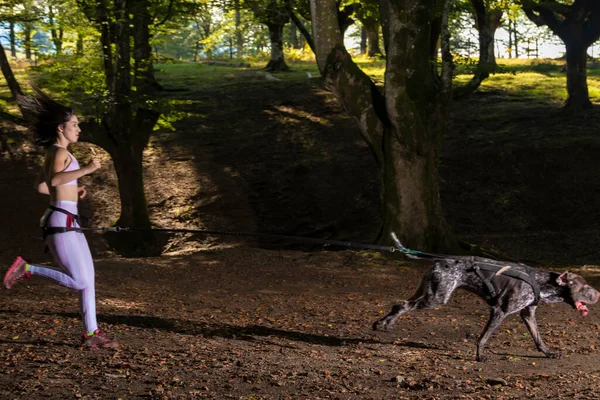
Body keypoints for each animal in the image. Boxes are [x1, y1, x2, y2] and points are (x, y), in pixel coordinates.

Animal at [372, 256, 596, 362]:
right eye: (584, 287)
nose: (599, 295)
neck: (540, 282)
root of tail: (436, 263)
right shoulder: (499, 311)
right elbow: (483, 338)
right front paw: (480, 356)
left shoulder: (528, 314)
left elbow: (538, 339)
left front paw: (548, 353)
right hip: (435, 299)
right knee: (403, 305)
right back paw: (384, 324)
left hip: (427, 293)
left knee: (399, 304)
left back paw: (383, 324)